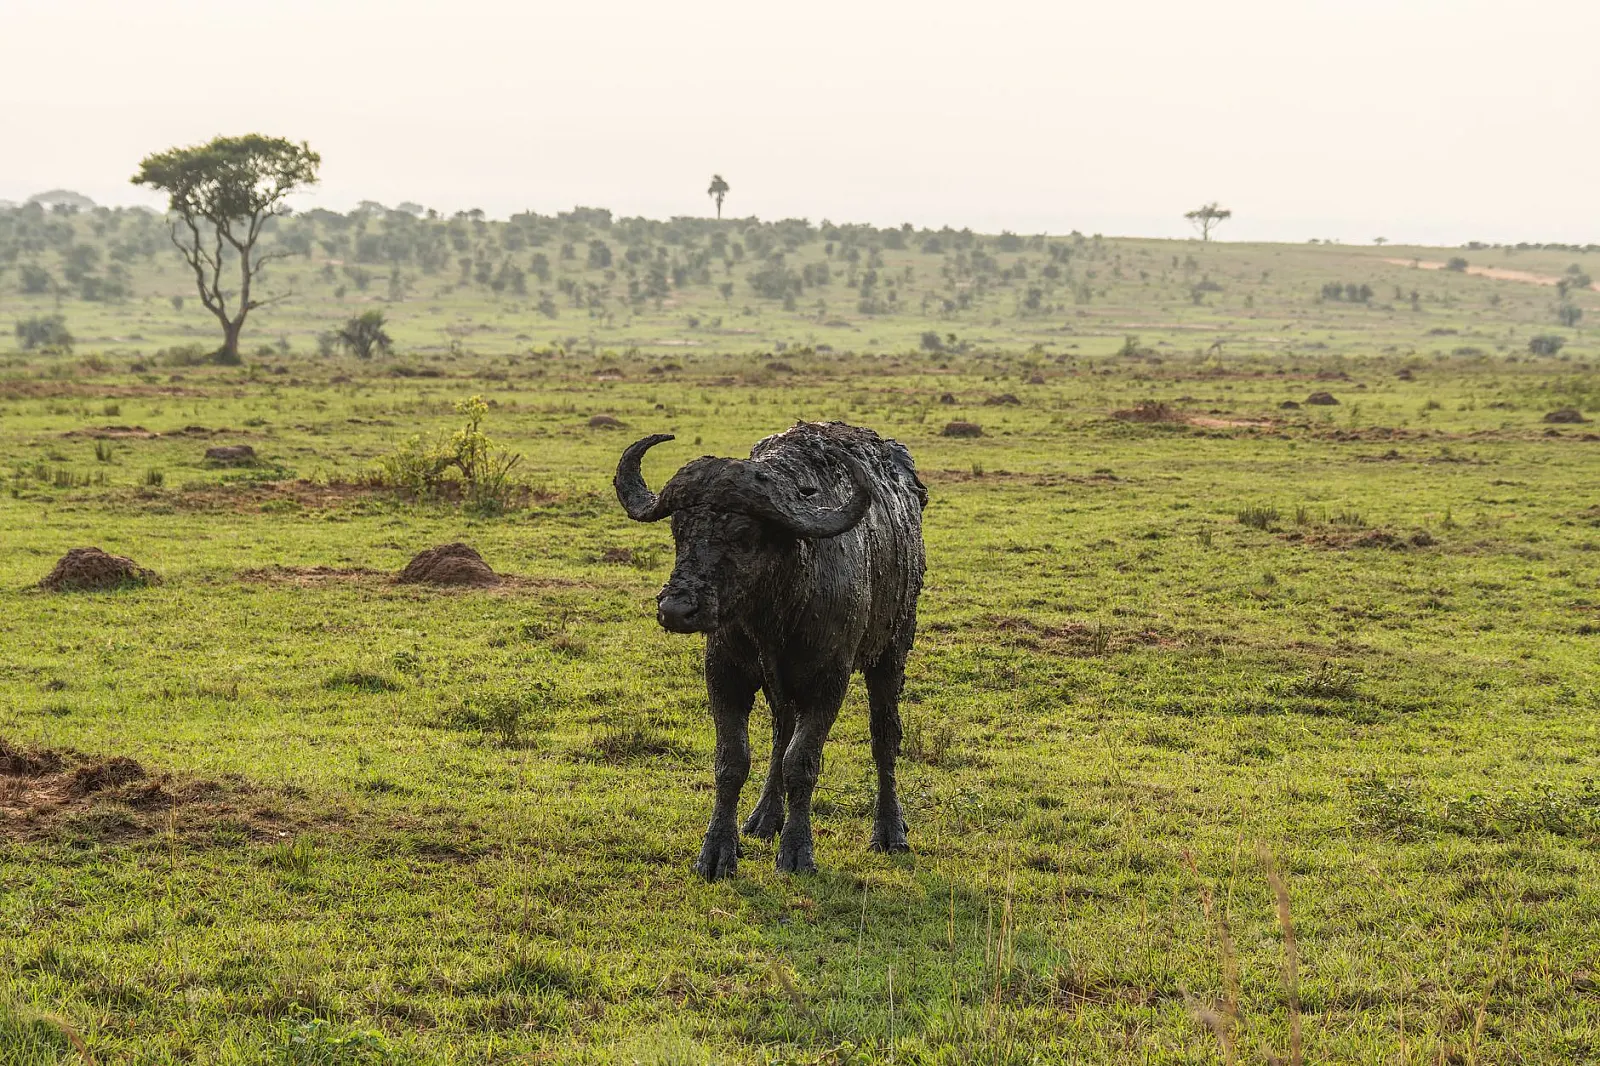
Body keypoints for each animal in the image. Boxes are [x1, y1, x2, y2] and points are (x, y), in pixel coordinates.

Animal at [615, 421, 927, 878]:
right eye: (680, 529)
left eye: (742, 534)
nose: (676, 609)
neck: (775, 613)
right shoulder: (724, 674)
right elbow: (733, 761)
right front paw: (717, 852)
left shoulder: (828, 683)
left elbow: (801, 763)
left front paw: (797, 852)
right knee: (781, 731)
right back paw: (764, 817)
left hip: (892, 651)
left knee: (884, 736)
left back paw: (890, 831)